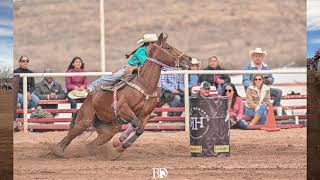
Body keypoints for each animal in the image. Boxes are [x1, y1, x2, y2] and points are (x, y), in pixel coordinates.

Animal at [52, 33, 191, 157]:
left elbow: (139, 129)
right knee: (70, 136)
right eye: (168, 47)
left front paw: (121, 147)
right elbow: (134, 123)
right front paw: (120, 141)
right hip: (84, 121)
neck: (144, 84)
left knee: (90, 144)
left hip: (109, 129)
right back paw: (57, 151)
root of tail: (88, 99)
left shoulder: (145, 114)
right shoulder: (122, 108)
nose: (188, 58)